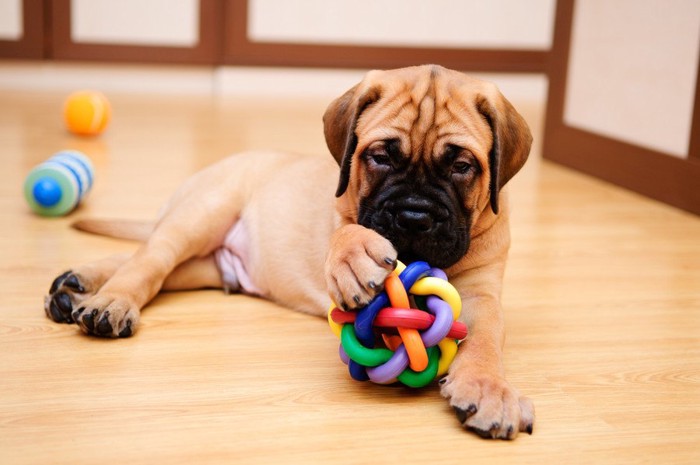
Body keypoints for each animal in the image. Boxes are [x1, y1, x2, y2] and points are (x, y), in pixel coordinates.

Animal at [45, 64, 536, 438]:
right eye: (379, 157)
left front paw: (489, 388)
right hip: (202, 214)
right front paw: (354, 258)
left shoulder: (482, 294)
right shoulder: (344, 213)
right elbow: (346, 230)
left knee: (156, 264)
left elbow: (487, 338)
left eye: (462, 166)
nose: (414, 217)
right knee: (150, 260)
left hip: (212, 264)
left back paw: (76, 287)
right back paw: (107, 300)